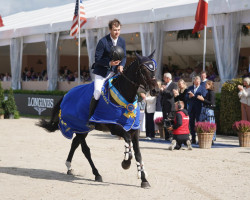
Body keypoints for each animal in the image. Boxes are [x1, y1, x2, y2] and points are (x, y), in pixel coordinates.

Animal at [37, 50, 160, 188]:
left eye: (154, 70)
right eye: (143, 70)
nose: (156, 90)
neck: (124, 96)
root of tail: (66, 95)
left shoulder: (134, 129)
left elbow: (138, 154)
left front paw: (144, 179)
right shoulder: (114, 127)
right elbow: (127, 140)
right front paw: (126, 162)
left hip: (82, 129)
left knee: (75, 143)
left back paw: (69, 167)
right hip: (78, 126)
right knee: (85, 150)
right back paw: (97, 174)